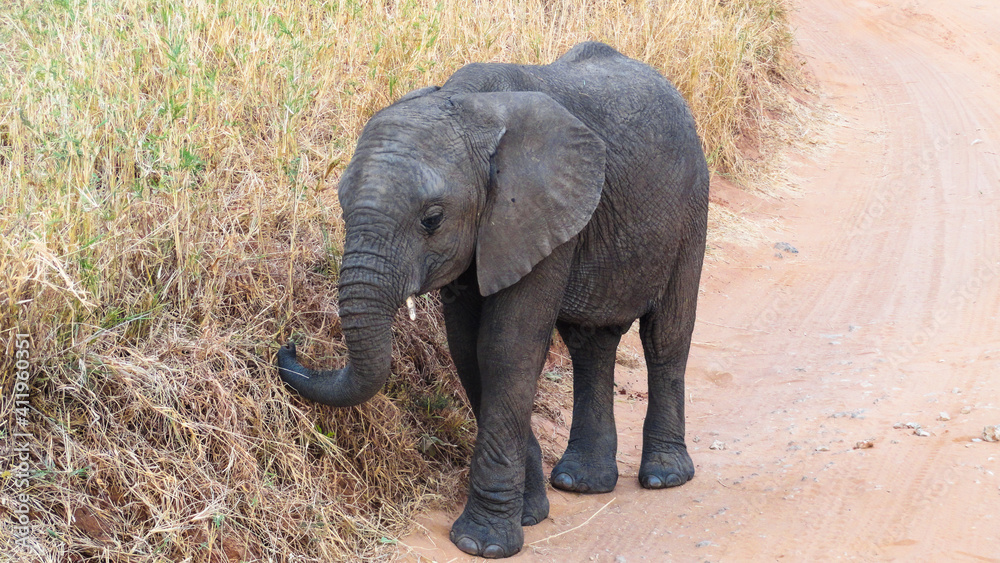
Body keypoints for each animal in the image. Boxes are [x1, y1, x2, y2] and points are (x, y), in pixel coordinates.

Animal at [277, 41, 709, 558]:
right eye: (342, 207)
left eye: (432, 219)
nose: (289, 345)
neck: (469, 106)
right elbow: (468, 350)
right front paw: (530, 514)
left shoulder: (538, 213)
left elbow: (506, 350)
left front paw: (481, 544)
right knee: (590, 344)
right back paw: (581, 483)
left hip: (692, 205)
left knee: (666, 336)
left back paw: (664, 477)